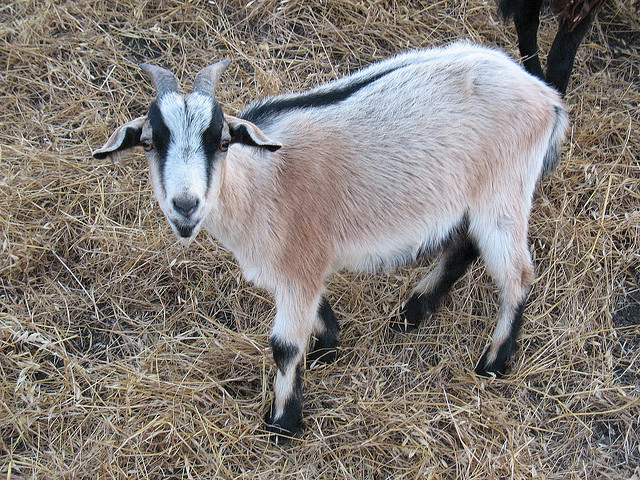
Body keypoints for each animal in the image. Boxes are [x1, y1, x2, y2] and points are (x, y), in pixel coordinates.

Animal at [93, 42, 568, 444]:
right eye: (149, 142)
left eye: (223, 141)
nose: (186, 205)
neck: (262, 182)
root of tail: (546, 97)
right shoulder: (297, 266)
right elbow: (316, 312)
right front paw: (327, 346)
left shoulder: (298, 265)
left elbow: (284, 346)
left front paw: (283, 423)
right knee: (465, 246)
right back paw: (413, 311)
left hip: (503, 192)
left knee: (517, 272)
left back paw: (493, 362)